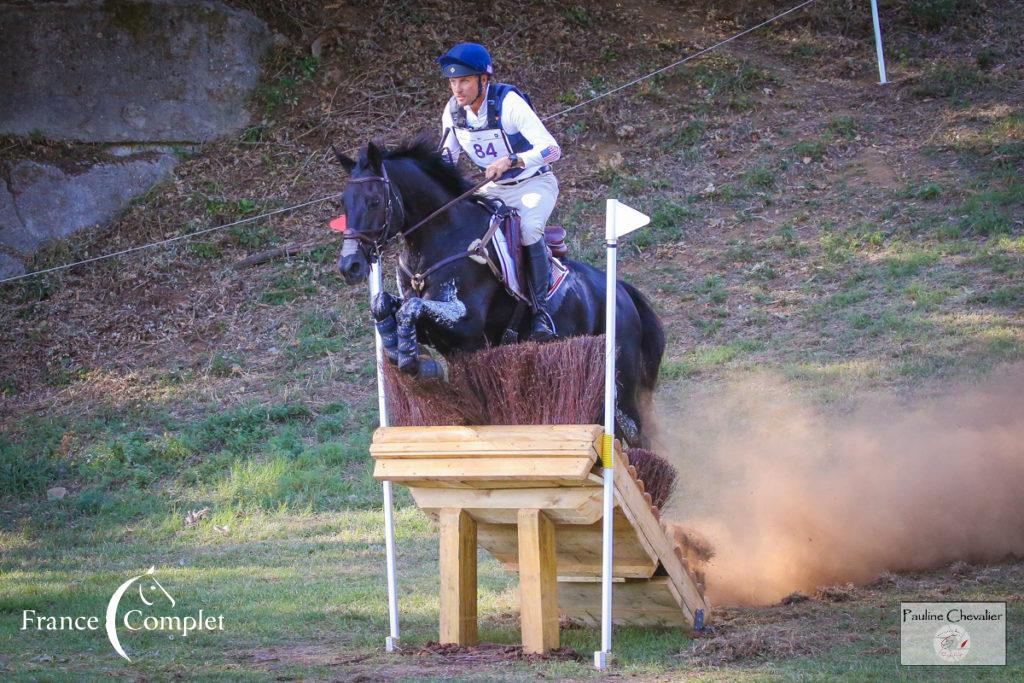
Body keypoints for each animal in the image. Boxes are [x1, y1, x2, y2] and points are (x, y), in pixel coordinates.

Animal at [335, 137, 663, 446]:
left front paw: (414, 360)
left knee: (634, 433)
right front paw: (402, 350)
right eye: (344, 203)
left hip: (620, 377)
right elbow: (385, 304)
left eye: (374, 200)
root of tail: (622, 292)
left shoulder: (465, 324)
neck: (440, 238)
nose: (350, 265)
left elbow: (410, 309)